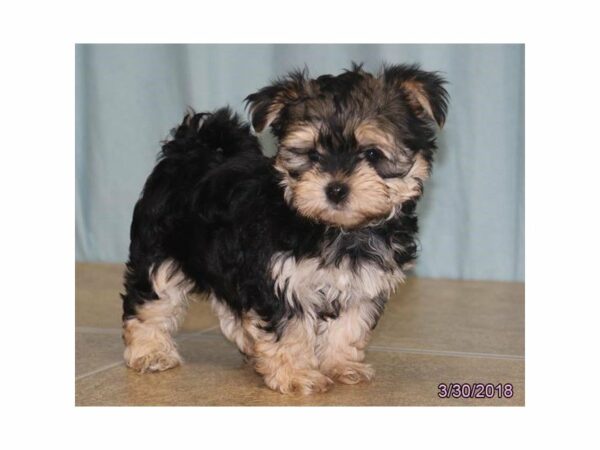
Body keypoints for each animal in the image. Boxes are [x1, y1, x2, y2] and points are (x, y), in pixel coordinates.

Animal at [122, 63, 448, 394]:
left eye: (372, 154)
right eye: (312, 154)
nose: (336, 189)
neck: (338, 230)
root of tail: (189, 150)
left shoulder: (363, 285)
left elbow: (348, 327)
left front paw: (341, 365)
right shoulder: (281, 280)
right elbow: (290, 330)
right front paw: (297, 375)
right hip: (159, 251)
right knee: (151, 301)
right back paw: (150, 352)